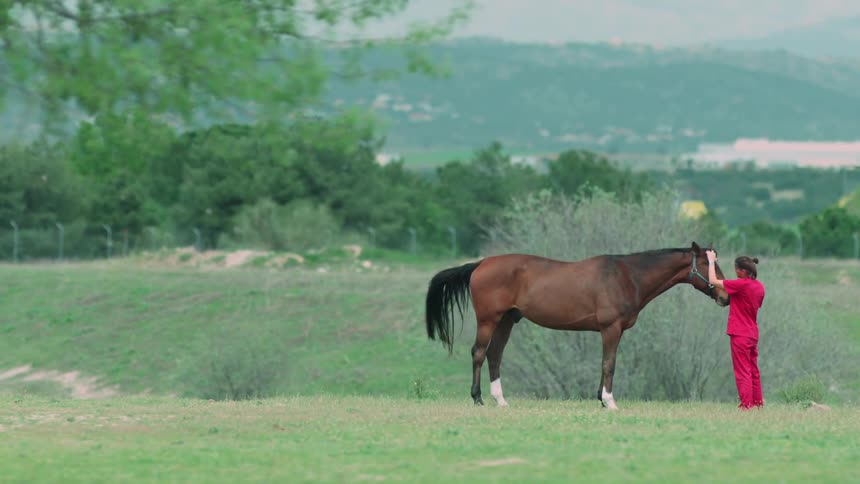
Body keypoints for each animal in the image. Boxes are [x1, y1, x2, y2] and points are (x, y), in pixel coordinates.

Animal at [424, 242, 729, 410]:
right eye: (707, 264)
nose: (725, 297)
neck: (627, 276)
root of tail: (481, 264)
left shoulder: (611, 331)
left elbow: (605, 363)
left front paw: (601, 399)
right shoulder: (610, 328)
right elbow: (609, 364)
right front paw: (609, 401)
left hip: (507, 321)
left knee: (494, 355)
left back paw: (501, 400)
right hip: (489, 319)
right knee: (478, 353)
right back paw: (477, 399)